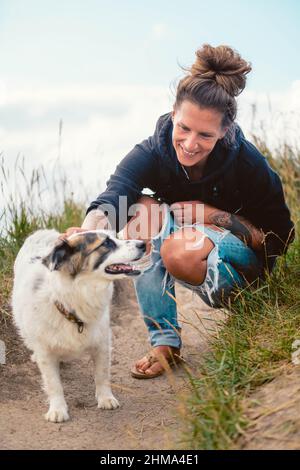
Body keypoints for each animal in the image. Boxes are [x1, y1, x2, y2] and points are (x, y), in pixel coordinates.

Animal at [12, 229, 146, 424]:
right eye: (106, 243)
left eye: (115, 237)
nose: (143, 244)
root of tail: (43, 231)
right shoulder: (45, 351)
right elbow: (53, 383)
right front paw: (57, 409)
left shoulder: (102, 343)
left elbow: (102, 374)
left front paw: (105, 398)